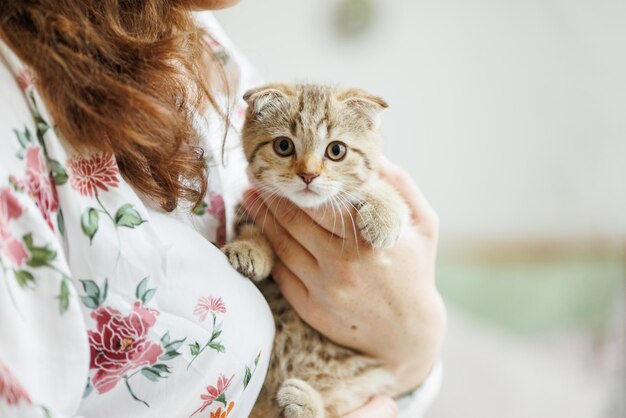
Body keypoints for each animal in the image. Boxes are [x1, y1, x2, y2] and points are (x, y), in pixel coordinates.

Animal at [221, 83, 410, 416]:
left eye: (336, 150)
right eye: (283, 145)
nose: (308, 174)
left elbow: (375, 185)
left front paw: (384, 215)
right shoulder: (251, 205)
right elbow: (251, 228)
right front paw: (250, 249)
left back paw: (304, 402)